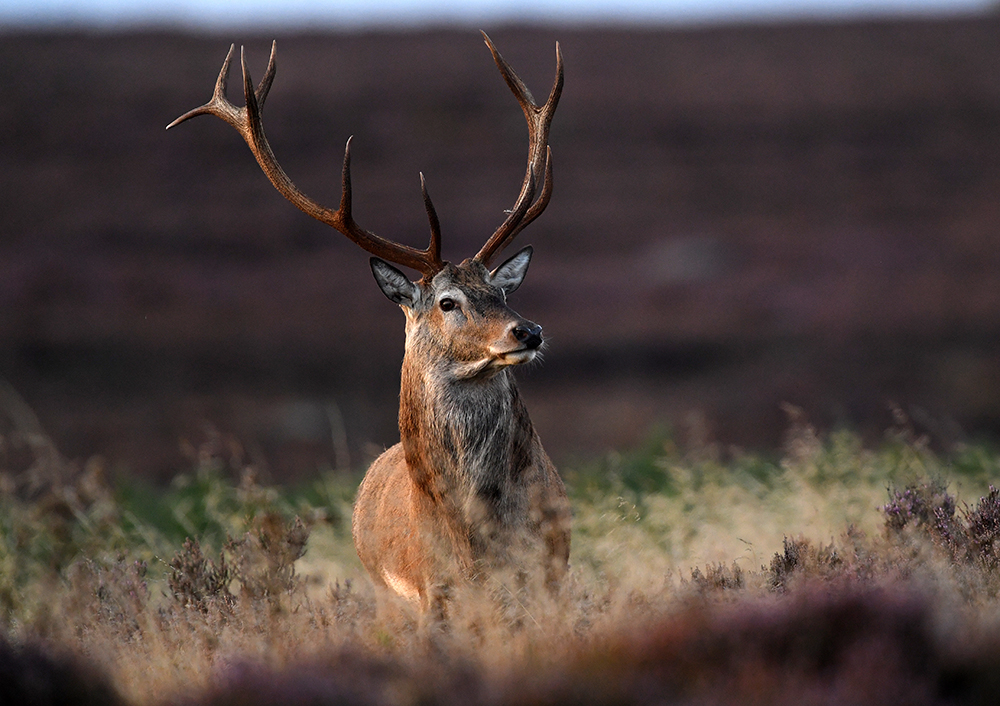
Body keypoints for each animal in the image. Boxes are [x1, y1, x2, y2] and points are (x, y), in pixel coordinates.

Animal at [167, 34, 571, 616]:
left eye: (501, 292)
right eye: (447, 302)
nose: (528, 332)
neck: (475, 536)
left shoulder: (551, 573)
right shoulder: (432, 590)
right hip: (384, 591)